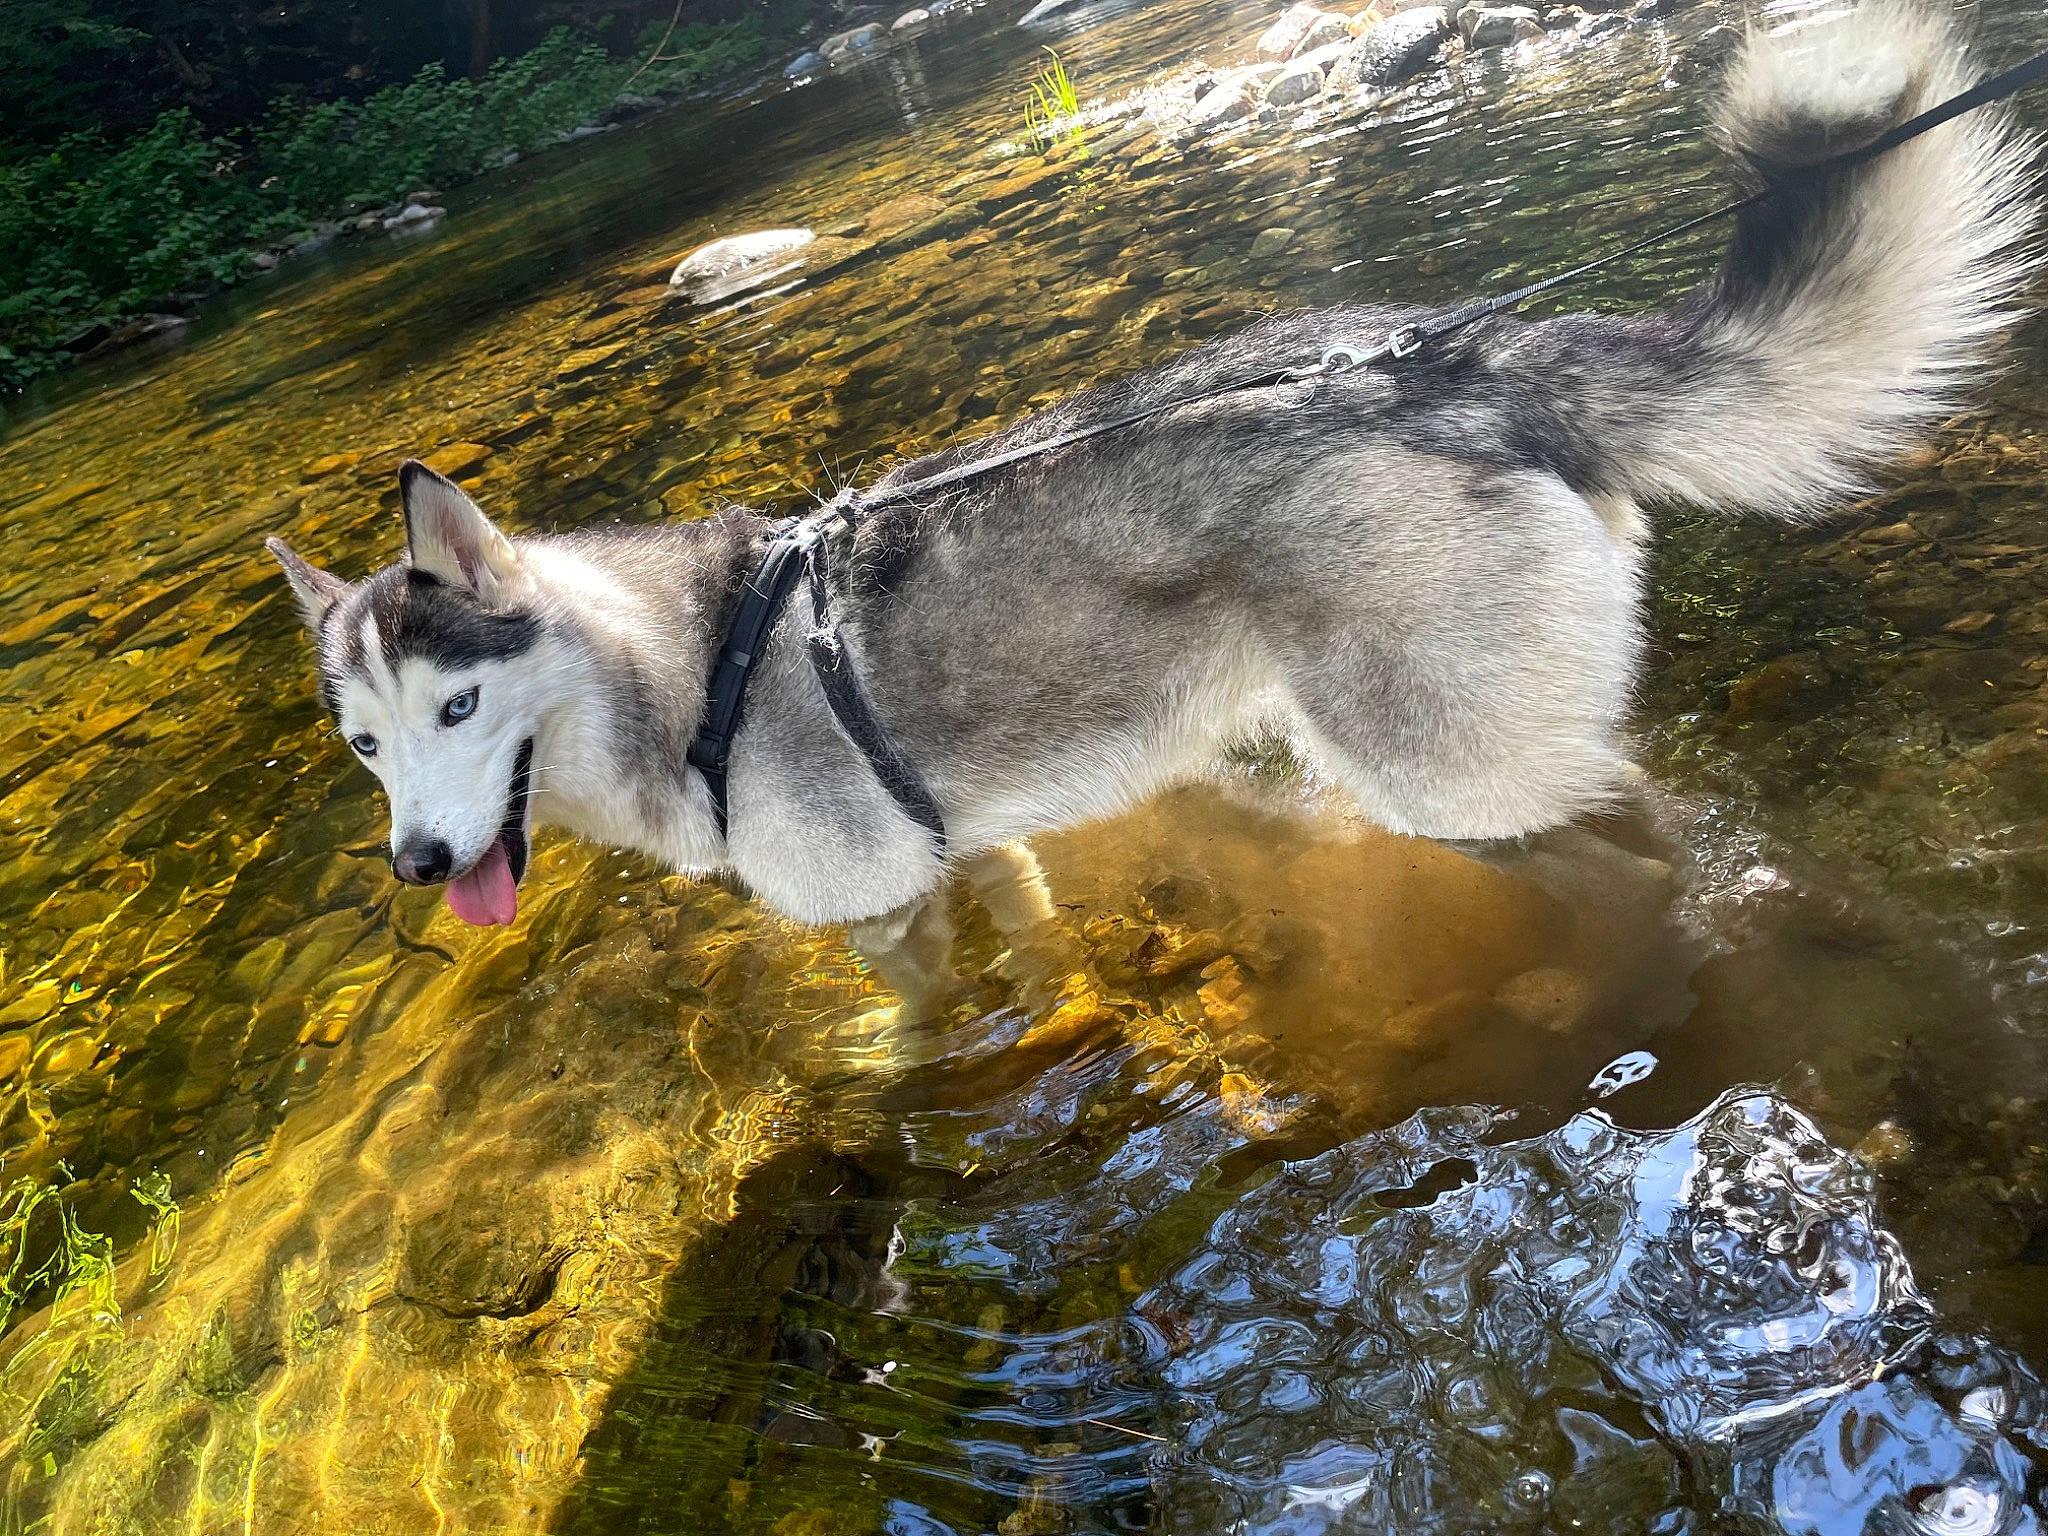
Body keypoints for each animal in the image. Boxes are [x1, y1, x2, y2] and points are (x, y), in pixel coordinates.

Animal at [268, 6, 2039, 998]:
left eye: (459, 709)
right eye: (365, 746)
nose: (416, 868)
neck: (692, 669)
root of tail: (1460, 363)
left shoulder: (884, 924)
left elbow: (907, 1045)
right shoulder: (973, 865)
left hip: (1447, 776)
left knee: (1647, 847)